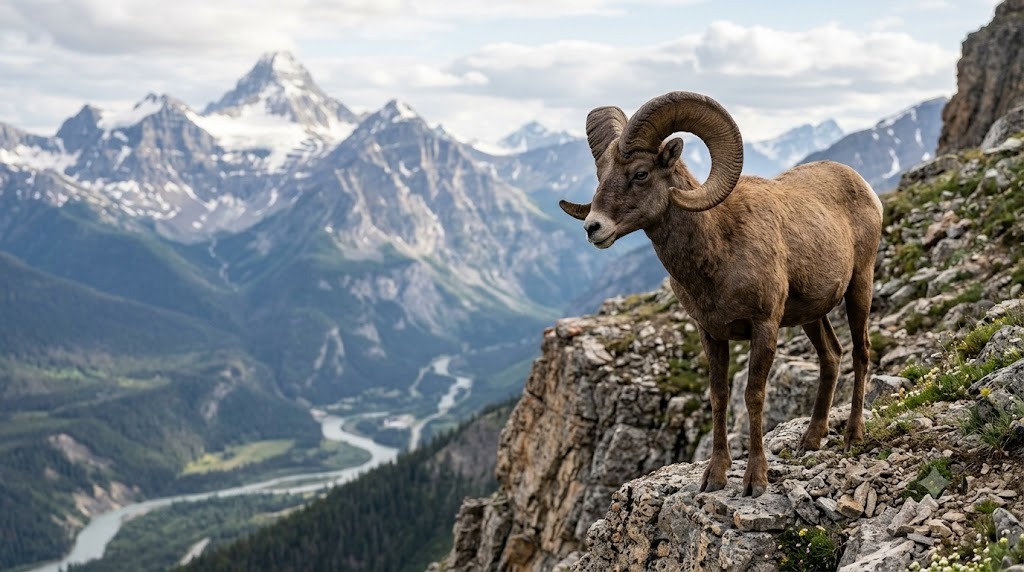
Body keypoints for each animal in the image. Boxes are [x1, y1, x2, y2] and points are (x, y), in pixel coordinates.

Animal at [559, 91, 883, 497]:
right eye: (601, 175)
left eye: (641, 173)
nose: (593, 228)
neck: (719, 248)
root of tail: (863, 186)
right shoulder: (711, 334)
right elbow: (719, 397)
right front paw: (714, 476)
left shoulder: (764, 328)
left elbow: (753, 396)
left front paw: (755, 480)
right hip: (811, 314)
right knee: (832, 356)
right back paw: (810, 439)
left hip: (860, 286)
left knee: (860, 352)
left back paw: (853, 436)